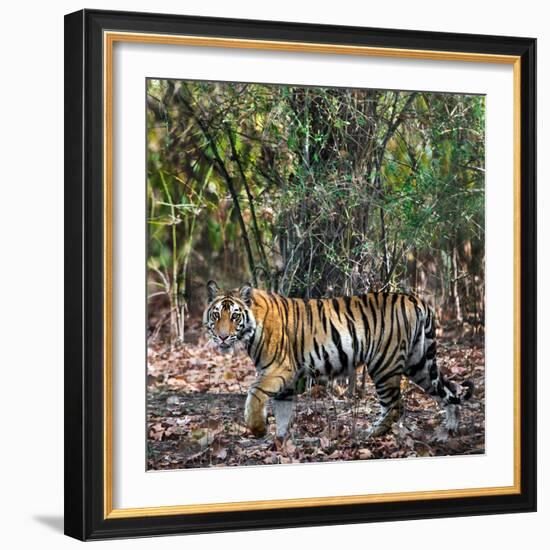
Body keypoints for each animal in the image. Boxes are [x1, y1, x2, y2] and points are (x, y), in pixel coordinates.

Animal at [203, 282, 474, 442]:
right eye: (216, 315)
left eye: (234, 316)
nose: (222, 336)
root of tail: (415, 299)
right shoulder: (287, 381)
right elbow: (283, 412)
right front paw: (280, 441)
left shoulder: (280, 368)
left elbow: (254, 394)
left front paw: (258, 429)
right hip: (419, 363)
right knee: (448, 390)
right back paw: (448, 431)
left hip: (384, 364)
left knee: (396, 405)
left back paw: (370, 434)